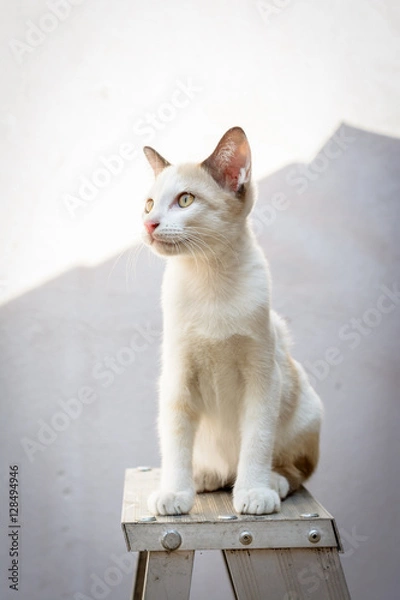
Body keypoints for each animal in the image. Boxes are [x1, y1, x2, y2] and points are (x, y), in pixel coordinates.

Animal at [141, 127, 322, 516]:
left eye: (185, 200)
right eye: (148, 204)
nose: (148, 224)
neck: (209, 278)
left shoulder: (263, 376)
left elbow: (257, 440)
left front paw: (253, 492)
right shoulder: (177, 378)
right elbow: (175, 445)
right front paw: (174, 493)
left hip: (306, 403)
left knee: (294, 469)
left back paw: (269, 482)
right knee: (213, 465)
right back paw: (204, 477)